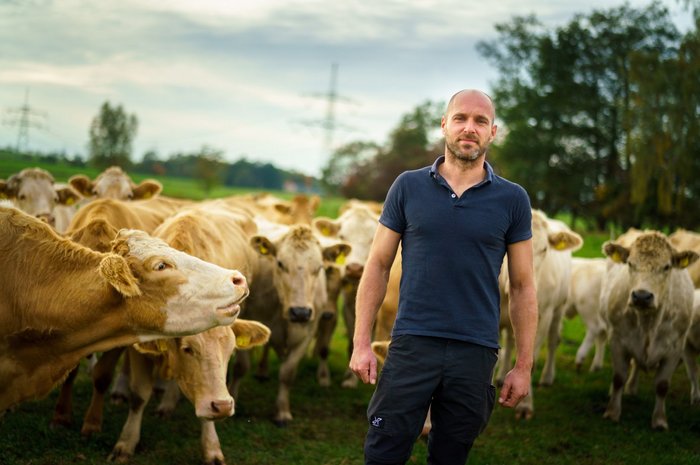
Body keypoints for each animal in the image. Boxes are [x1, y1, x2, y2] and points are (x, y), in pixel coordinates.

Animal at [109, 320, 270, 464]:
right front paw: (125, 444)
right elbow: (139, 396)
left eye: (232, 351)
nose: (223, 406)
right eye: (187, 349)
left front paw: (211, 449)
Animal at [600, 230, 696, 430]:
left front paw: (659, 421)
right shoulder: (617, 340)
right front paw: (612, 412)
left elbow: (662, 385)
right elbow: (618, 377)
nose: (642, 296)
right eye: (630, 263)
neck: (648, 323)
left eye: (667, 267)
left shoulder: (675, 348)